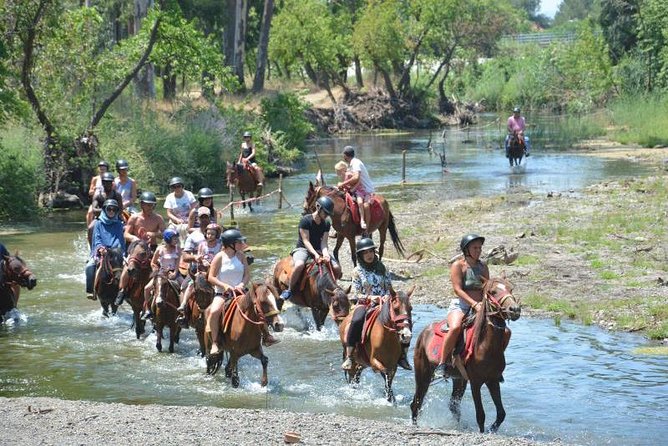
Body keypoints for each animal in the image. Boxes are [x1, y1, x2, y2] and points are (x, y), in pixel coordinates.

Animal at [412, 278, 520, 434]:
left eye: (510, 289)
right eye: (493, 292)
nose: (515, 309)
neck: (485, 346)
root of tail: (424, 332)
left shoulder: (493, 380)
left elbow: (501, 413)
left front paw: (492, 429)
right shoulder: (476, 382)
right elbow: (480, 415)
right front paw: (483, 432)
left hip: (459, 380)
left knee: (453, 405)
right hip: (423, 375)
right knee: (416, 403)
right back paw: (415, 426)